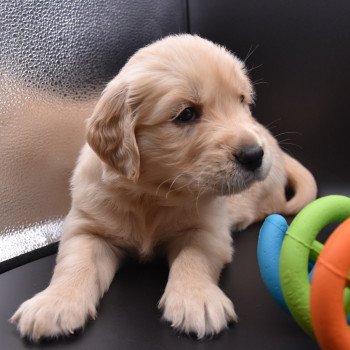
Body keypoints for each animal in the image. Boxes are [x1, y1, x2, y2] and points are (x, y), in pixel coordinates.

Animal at [10, 34, 318, 340]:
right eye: (186, 114)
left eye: (242, 100)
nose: (254, 155)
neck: (153, 194)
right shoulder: (87, 228)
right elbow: (76, 262)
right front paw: (54, 303)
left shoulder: (208, 229)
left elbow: (193, 257)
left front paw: (197, 299)